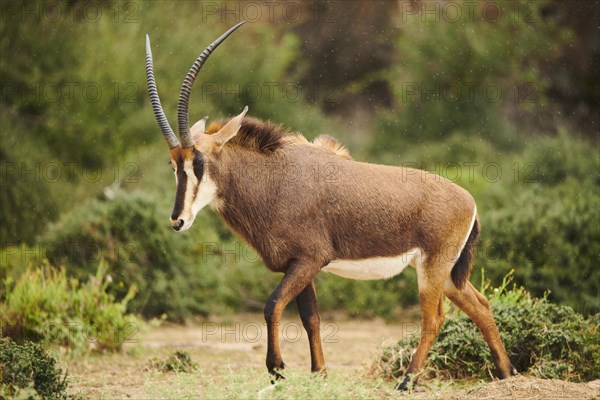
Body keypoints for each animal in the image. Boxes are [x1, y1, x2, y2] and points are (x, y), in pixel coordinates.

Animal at [144, 22, 516, 390]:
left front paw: (277, 370)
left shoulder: (309, 260)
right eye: (172, 163)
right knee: (480, 305)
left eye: (198, 161)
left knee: (433, 317)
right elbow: (311, 317)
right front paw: (319, 373)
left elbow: (272, 305)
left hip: (433, 269)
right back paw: (506, 373)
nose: (177, 220)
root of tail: (469, 201)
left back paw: (407, 382)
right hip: (448, 274)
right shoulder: (298, 265)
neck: (275, 176)